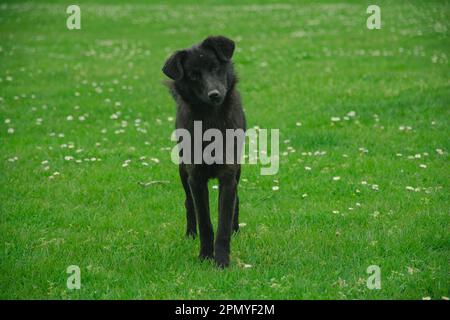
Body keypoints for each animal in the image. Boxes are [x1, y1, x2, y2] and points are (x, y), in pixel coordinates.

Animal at [163, 36, 246, 268]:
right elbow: (205, 222)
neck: (211, 119)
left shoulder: (228, 174)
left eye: (215, 67)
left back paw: (236, 230)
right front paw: (205, 256)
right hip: (183, 171)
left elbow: (223, 222)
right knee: (189, 203)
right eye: (193, 75)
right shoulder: (196, 178)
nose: (215, 95)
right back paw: (190, 234)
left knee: (236, 201)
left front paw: (222, 261)